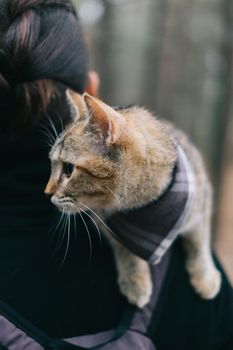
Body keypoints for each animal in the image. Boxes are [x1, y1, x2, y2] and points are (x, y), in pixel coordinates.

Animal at [44, 91, 221, 308]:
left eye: (68, 169)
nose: (47, 192)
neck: (143, 204)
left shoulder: (203, 195)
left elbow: (199, 240)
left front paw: (205, 276)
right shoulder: (103, 220)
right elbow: (124, 248)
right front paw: (135, 279)